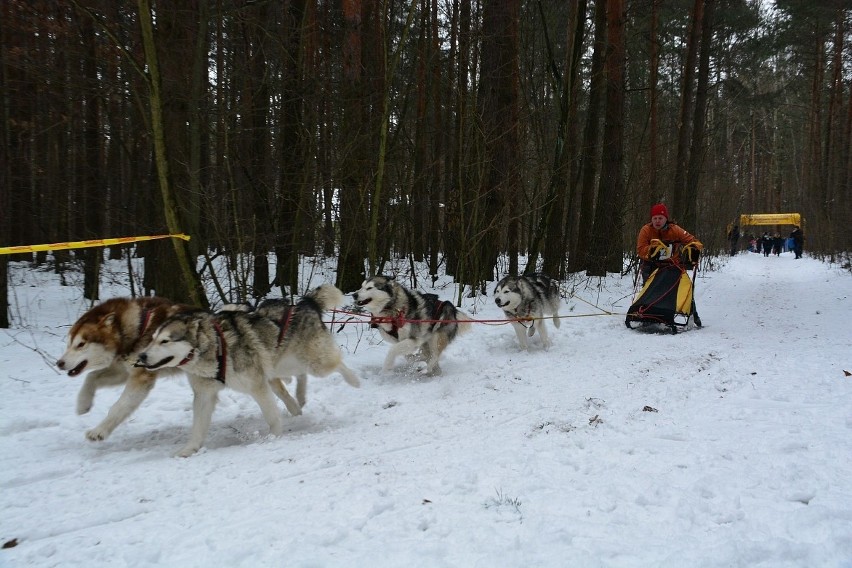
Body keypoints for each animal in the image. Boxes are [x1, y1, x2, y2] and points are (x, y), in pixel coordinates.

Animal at [57, 298, 191, 444]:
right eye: (69, 344)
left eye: (81, 344)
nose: (59, 363)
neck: (140, 328)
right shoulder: (123, 372)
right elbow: (91, 377)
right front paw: (83, 403)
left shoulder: (140, 379)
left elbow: (119, 406)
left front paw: (99, 431)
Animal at [136, 284, 360, 458]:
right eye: (153, 338)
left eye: (165, 341)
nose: (142, 356)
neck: (216, 347)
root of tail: (305, 302)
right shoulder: (204, 394)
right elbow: (198, 427)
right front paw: (189, 449)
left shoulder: (257, 386)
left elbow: (271, 416)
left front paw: (275, 437)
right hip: (282, 363)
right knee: (300, 375)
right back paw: (300, 397)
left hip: (315, 363)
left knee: (337, 363)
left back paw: (354, 381)